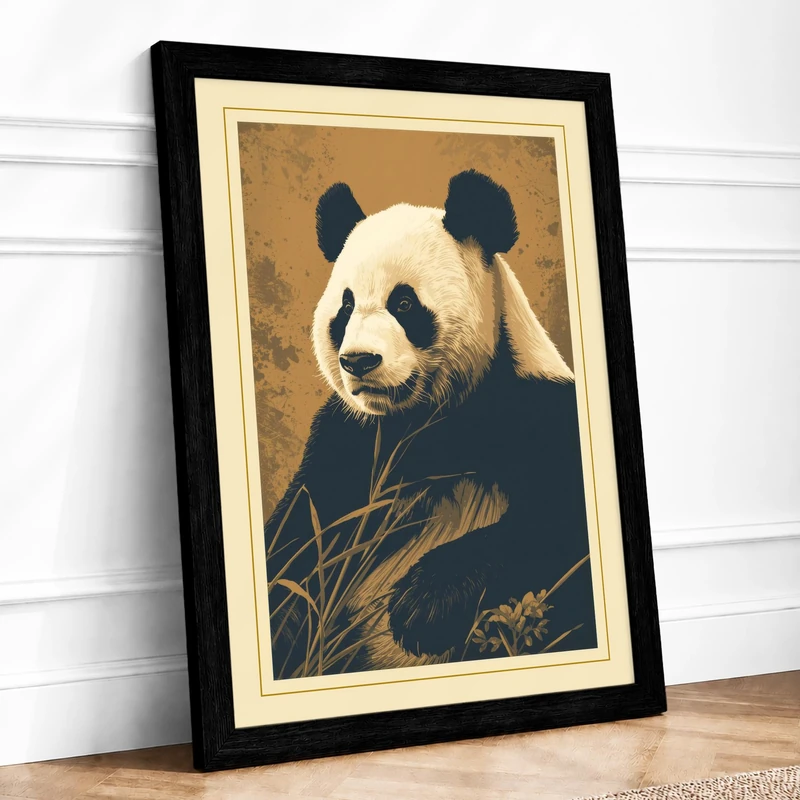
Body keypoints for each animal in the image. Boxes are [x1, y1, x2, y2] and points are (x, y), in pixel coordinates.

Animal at [265, 170, 597, 680]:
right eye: (346, 308)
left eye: (404, 303)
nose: (359, 361)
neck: (430, 420)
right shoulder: (349, 444)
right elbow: (299, 541)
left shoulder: (539, 414)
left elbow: (554, 520)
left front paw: (422, 607)